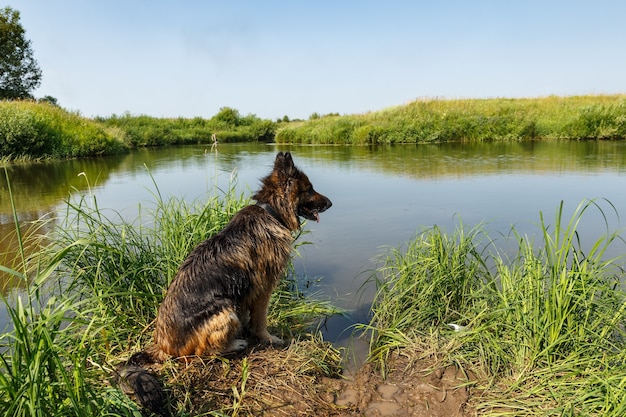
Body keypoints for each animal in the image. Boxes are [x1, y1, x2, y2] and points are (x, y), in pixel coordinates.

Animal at [119, 151, 330, 414]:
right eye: (309, 189)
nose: (330, 203)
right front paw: (269, 339)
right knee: (201, 354)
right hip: (226, 311)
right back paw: (234, 344)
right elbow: (260, 321)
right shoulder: (264, 290)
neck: (271, 211)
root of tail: (161, 345)